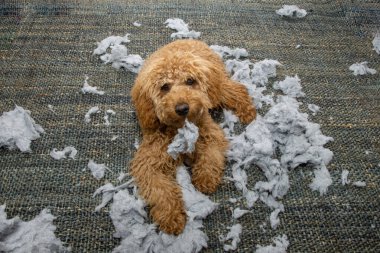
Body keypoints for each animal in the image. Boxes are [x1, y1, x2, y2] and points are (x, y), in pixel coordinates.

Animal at [129, 39, 256, 235]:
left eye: (190, 81)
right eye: (164, 87)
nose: (182, 108)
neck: (181, 128)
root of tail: (190, 39)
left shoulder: (210, 133)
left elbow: (211, 155)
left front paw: (205, 178)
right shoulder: (149, 161)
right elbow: (160, 190)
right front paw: (171, 216)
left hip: (217, 88)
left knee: (237, 89)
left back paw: (248, 111)